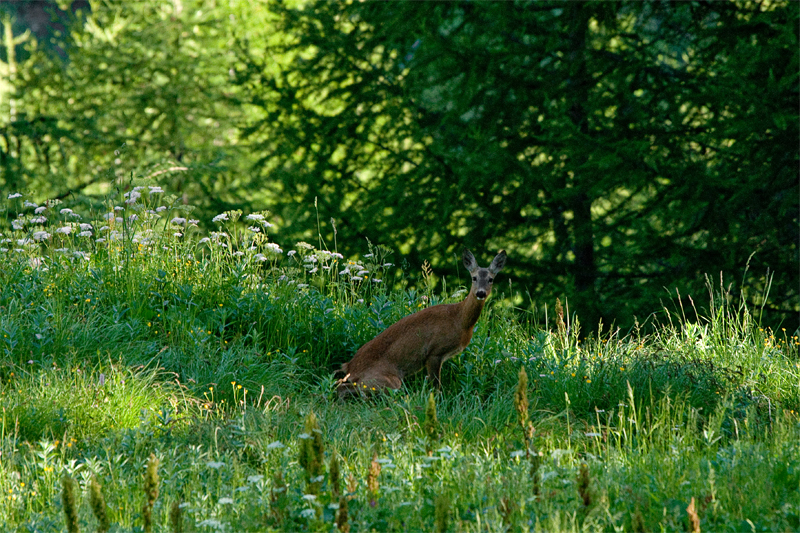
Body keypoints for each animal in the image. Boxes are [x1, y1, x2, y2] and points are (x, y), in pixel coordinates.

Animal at [338, 247, 506, 396]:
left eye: (491, 279)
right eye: (474, 278)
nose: (480, 293)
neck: (460, 320)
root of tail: (349, 367)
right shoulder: (434, 352)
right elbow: (436, 387)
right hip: (386, 379)